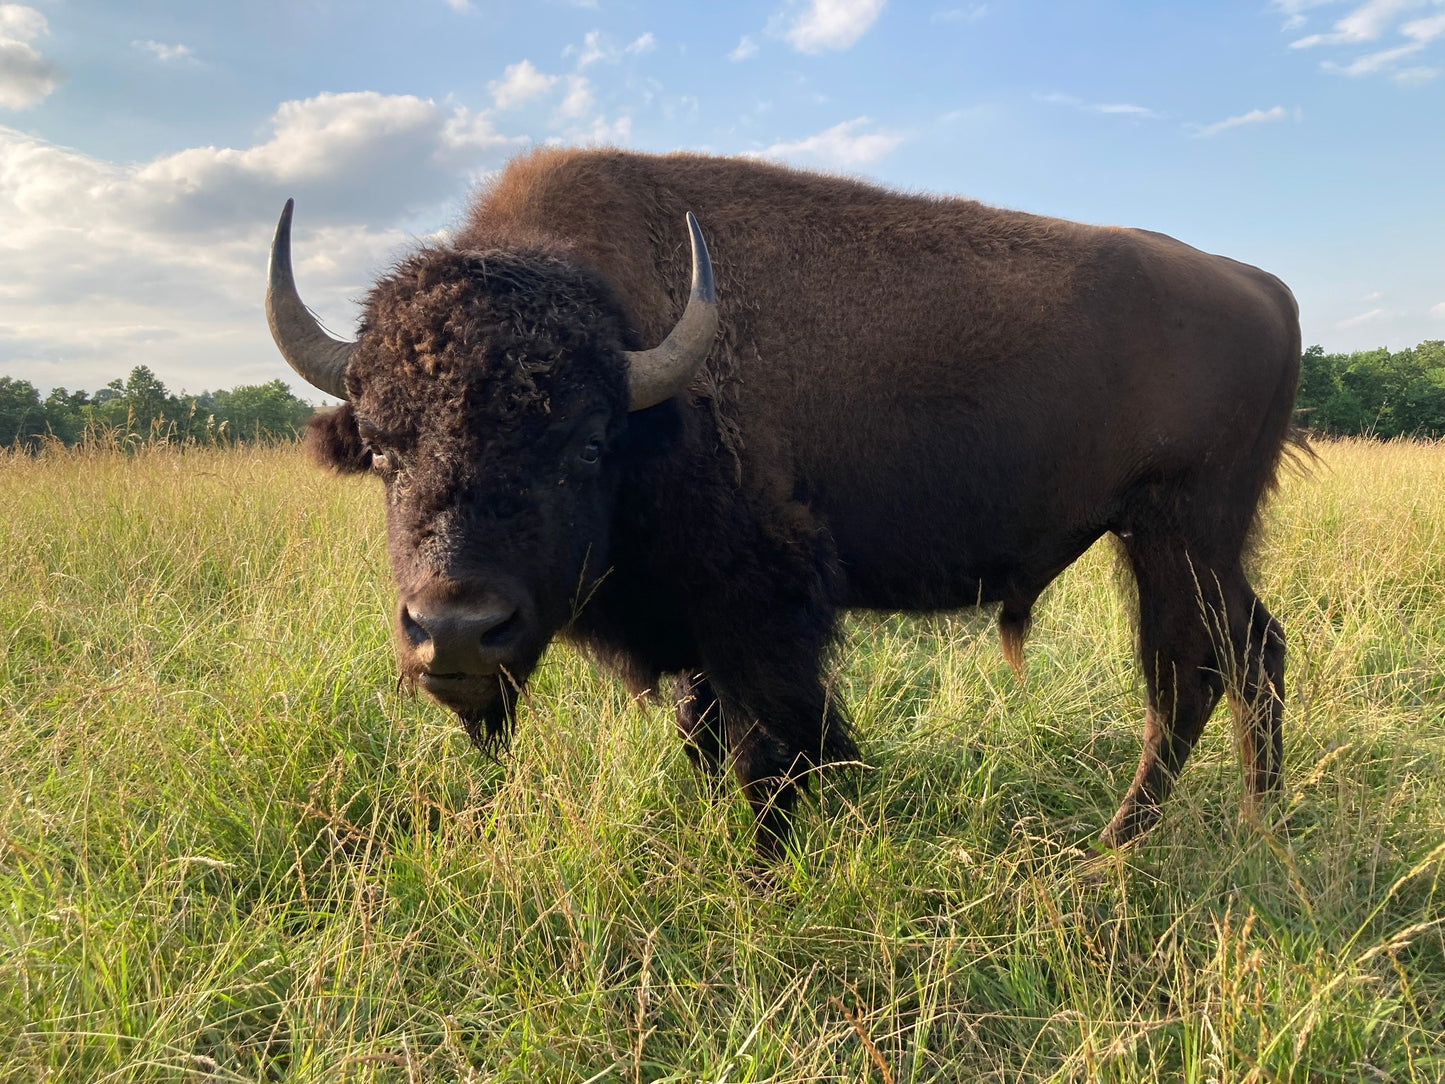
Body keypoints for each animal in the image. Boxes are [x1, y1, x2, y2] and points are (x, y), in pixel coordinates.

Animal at [267, 149, 1301, 854]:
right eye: (382, 449)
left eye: (585, 444)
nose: (454, 633)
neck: (647, 383)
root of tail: (1263, 287)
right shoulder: (695, 627)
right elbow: (706, 734)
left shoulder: (759, 609)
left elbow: (770, 745)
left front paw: (760, 862)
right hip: (1189, 543)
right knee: (1252, 654)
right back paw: (1256, 824)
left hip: (1177, 534)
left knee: (1189, 677)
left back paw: (1119, 847)